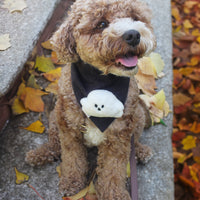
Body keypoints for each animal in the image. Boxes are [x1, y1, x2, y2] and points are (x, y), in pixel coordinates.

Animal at [25, 0, 156, 199]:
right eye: (101, 24)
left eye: (135, 17)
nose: (133, 34)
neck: (99, 80)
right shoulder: (69, 128)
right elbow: (72, 158)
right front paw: (72, 181)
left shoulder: (119, 136)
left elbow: (113, 170)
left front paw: (114, 194)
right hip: (56, 117)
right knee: (55, 145)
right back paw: (40, 154)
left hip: (138, 116)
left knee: (136, 140)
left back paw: (140, 151)